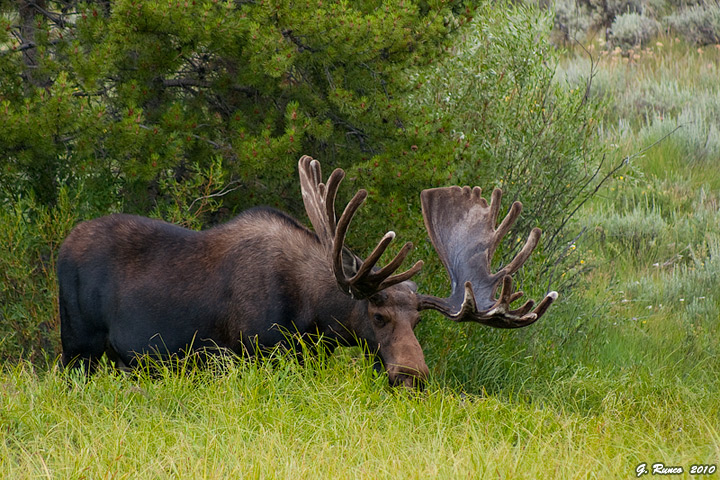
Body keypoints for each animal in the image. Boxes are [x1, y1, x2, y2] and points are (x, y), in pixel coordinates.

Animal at [57, 155, 557, 387]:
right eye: (378, 316)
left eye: (418, 320)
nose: (412, 375)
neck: (314, 316)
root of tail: (60, 247)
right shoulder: (255, 351)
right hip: (78, 346)